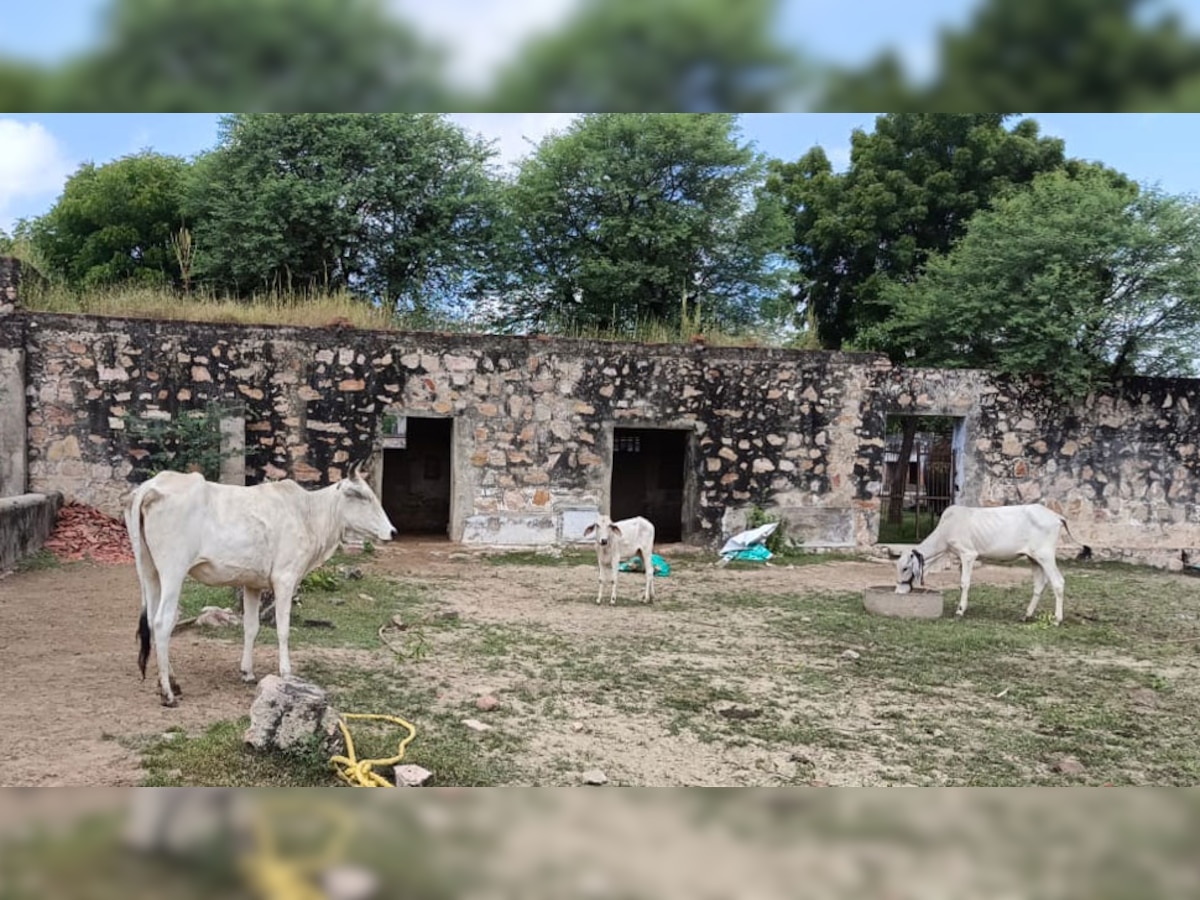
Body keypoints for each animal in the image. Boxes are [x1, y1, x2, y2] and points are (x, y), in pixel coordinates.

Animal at [127, 460, 398, 710]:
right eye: (363, 496)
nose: (393, 532)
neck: (308, 515)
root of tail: (152, 486)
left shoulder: (252, 584)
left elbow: (251, 627)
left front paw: (247, 672)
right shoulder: (285, 578)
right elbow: (283, 629)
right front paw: (286, 672)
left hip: (150, 571)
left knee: (151, 621)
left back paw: (171, 683)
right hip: (173, 571)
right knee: (162, 622)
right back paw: (167, 693)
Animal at [892, 504, 1089, 624]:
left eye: (905, 568)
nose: (899, 591)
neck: (946, 530)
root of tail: (1056, 516)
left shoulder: (968, 555)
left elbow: (964, 583)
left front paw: (960, 611)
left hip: (1045, 556)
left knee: (1058, 582)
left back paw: (1057, 619)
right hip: (1034, 558)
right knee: (1040, 584)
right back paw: (1026, 615)